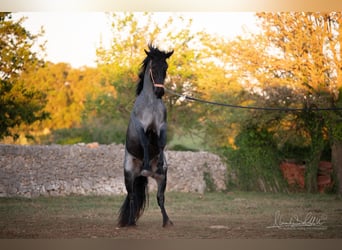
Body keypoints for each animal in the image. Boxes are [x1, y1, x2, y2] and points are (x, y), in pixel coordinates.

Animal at [119, 44, 174, 228]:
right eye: (153, 67)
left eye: (165, 67)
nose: (160, 91)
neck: (150, 104)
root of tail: (141, 175)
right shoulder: (141, 127)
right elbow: (144, 142)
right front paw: (146, 163)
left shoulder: (161, 127)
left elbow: (162, 144)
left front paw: (161, 163)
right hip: (129, 176)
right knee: (132, 197)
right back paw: (130, 222)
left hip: (161, 179)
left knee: (160, 198)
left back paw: (167, 221)